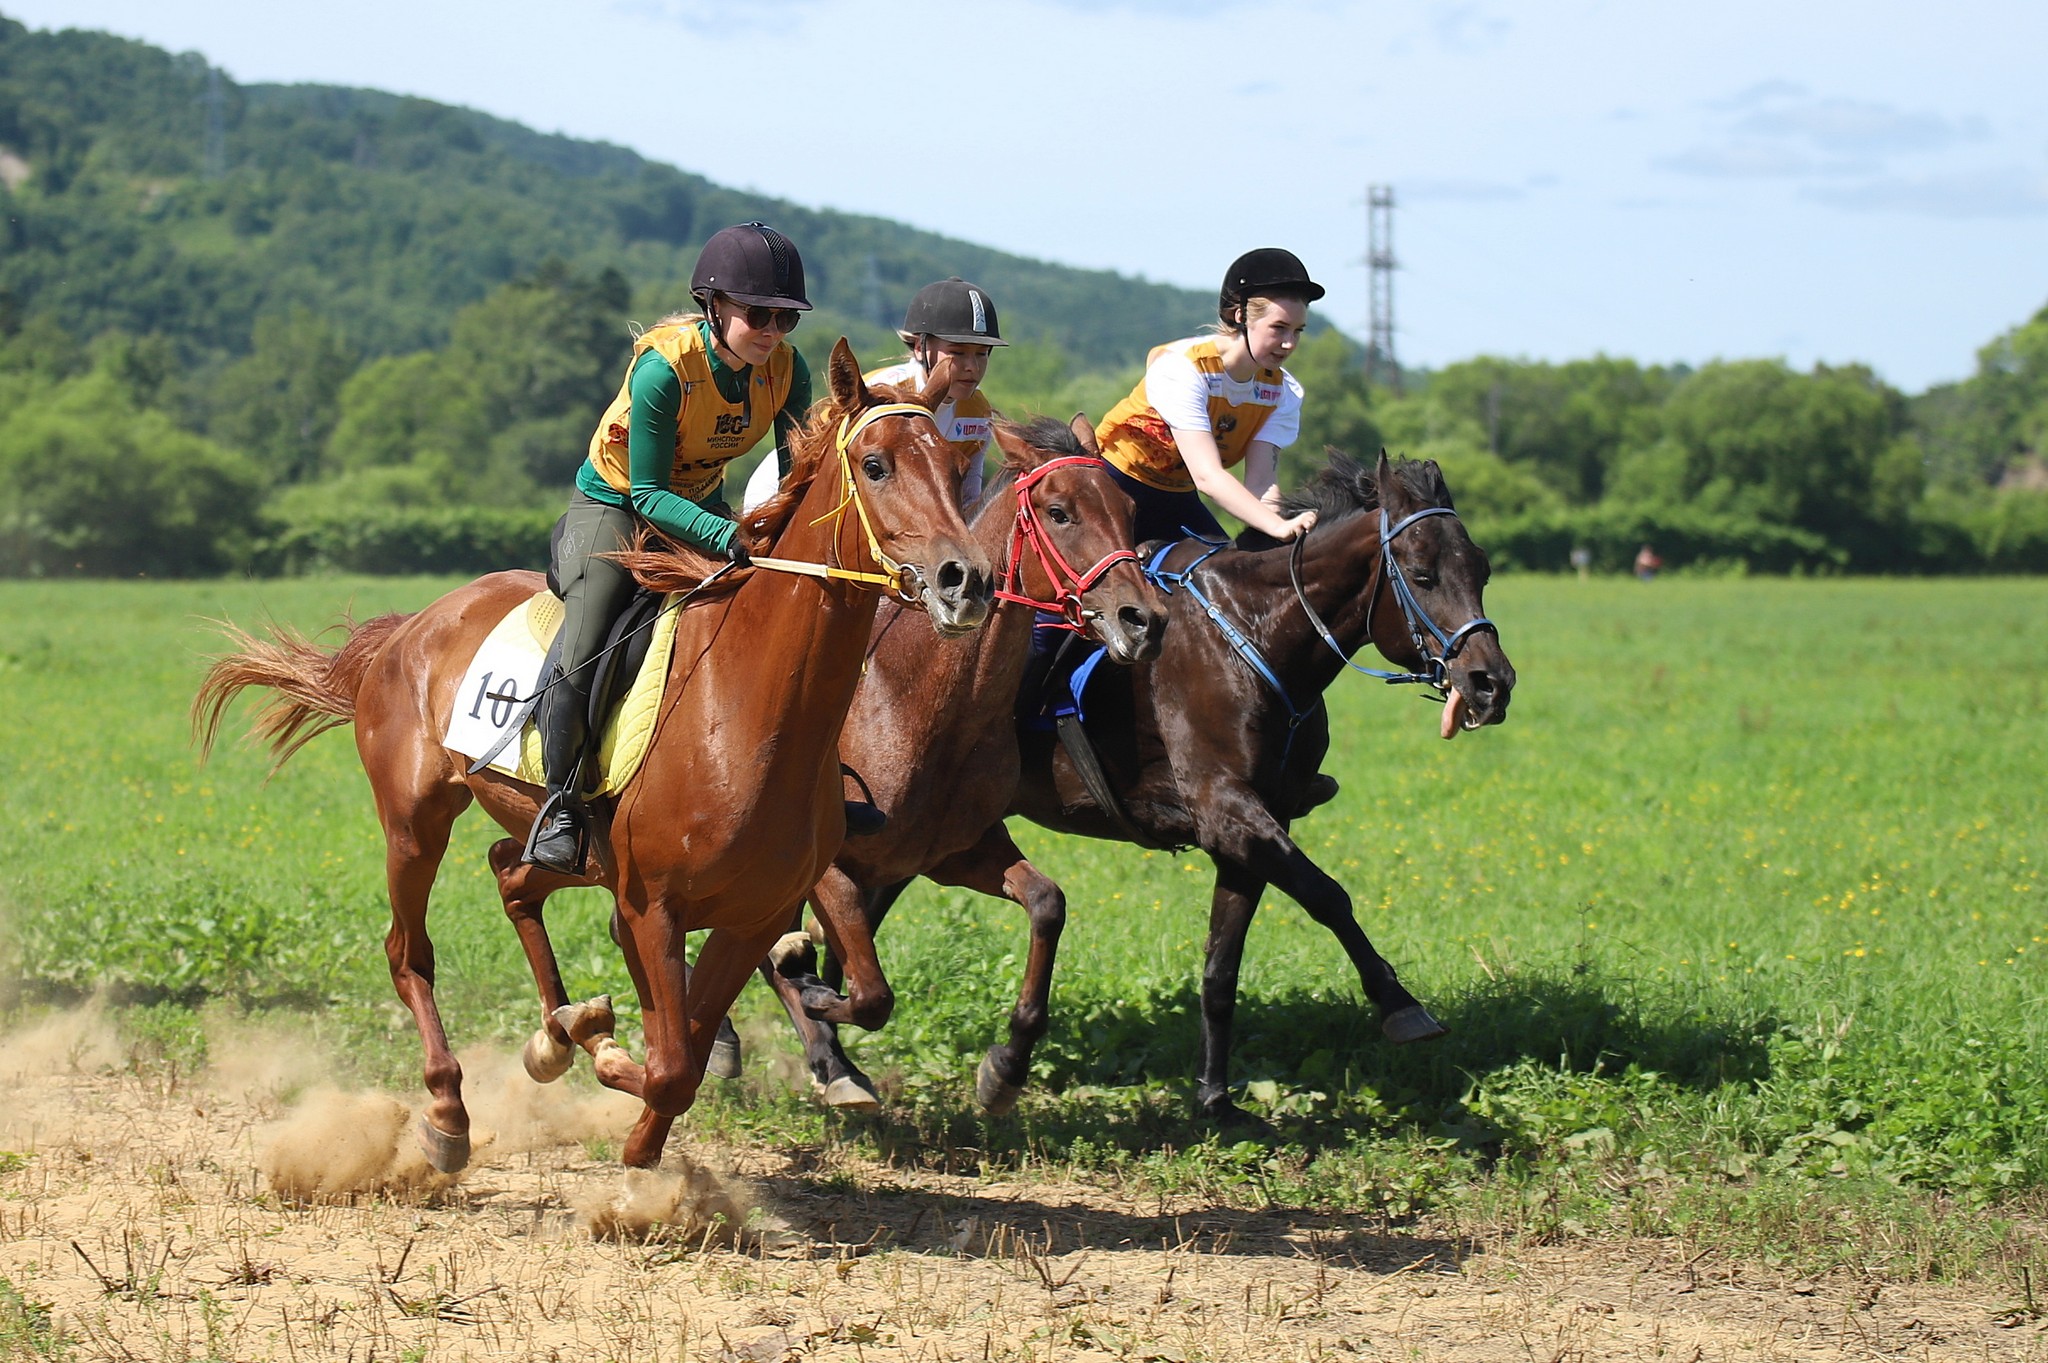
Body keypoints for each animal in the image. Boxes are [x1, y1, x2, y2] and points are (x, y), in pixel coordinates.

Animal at [195, 341, 995, 1170]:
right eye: (875, 465)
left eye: (956, 462)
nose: (966, 580)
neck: (750, 712)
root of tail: (409, 626)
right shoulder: (652, 905)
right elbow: (671, 1063)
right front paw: (614, 1063)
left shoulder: (750, 916)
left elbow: (690, 1055)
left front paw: (631, 1117)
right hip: (415, 823)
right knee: (408, 951)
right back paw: (451, 1109)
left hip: (567, 847)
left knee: (510, 873)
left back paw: (557, 1031)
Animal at [753, 419, 1171, 1113]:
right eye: (1059, 512)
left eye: (1130, 510)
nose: (1145, 619)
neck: (918, 707)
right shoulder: (827, 865)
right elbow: (866, 993)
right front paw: (814, 999)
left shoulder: (955, 852)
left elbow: (1047, 903)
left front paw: (1006, 1066)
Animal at [790, 446, 1515, 1113]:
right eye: (1421, 573)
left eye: (1482, 568)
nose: (1492, 682)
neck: (1251, 637)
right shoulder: (1227, 809)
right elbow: (1328, 894)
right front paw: (1400, 1004)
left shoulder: (1252, 827)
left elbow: (1221, 969)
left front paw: (1216, 1098)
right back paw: (824, 1052)